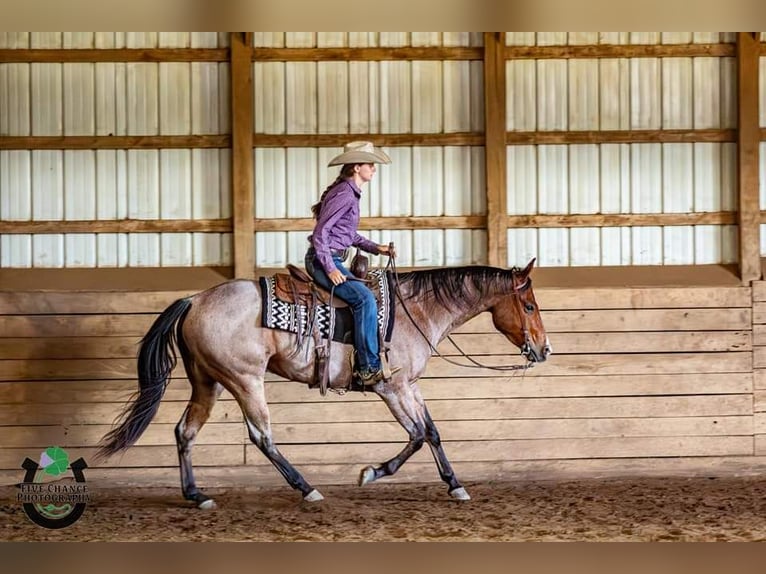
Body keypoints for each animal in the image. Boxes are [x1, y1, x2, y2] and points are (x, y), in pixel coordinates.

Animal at [97, 260, 552, 508]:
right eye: (529, 305)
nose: (544, 349)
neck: (416, 309)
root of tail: (196, 299)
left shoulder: (410, 385)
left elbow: (433, 432)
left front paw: (455, 485)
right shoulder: (392, 388)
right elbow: (418, 435)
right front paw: (373, 473)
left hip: (208, 382)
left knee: (185, 432)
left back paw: (197, 495)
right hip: (244, 379)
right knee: (261, 436)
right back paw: (306, 488)